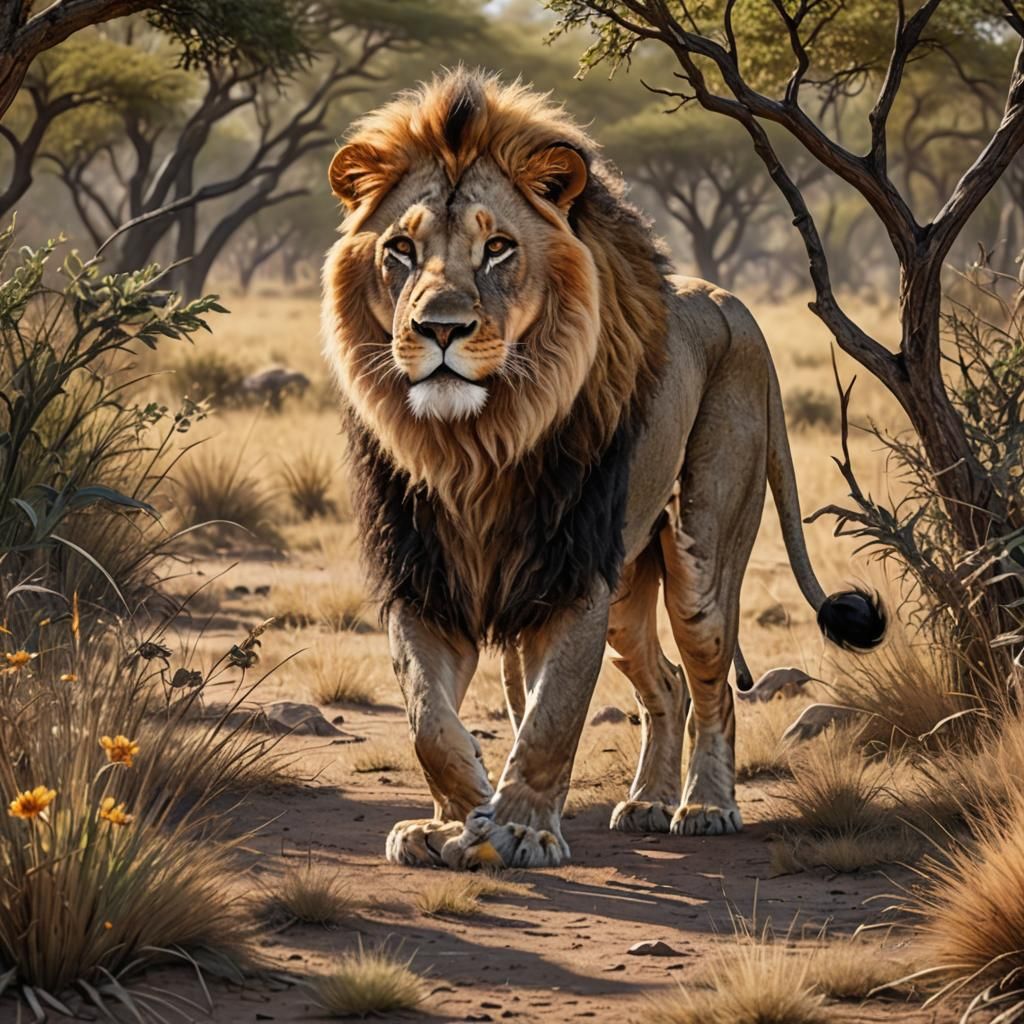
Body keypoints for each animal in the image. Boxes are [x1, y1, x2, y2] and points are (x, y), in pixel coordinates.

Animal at [321, 68, 885, 870]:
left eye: (498, 248)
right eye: (400, 247)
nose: (439, 328)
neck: (473, 445)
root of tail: (737, 308)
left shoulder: (571, 574)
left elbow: (552, 715)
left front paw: (521, 828)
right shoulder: (423, 575)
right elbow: (429, 718)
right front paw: (451, 820)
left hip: (699, 559)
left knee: (712, 684)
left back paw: (705, 806)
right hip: (625, 586)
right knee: (668, 686)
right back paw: (648, 801)